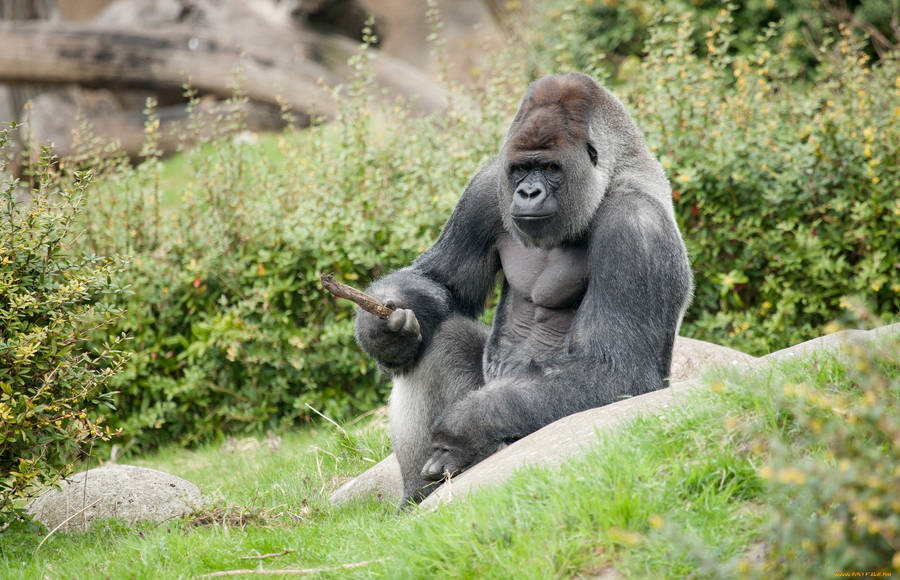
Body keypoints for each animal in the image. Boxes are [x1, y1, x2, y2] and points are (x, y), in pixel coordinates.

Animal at [355, 73, 693, 505]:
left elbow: (616, 371)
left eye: (550, 167)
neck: (612, 172)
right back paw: (417, 496)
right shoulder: (486, 187)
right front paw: (383, 331)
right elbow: (441, 281)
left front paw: (468, 426)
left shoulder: (636, 228)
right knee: (441, 338)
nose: (528, 193)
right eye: (520, 170)